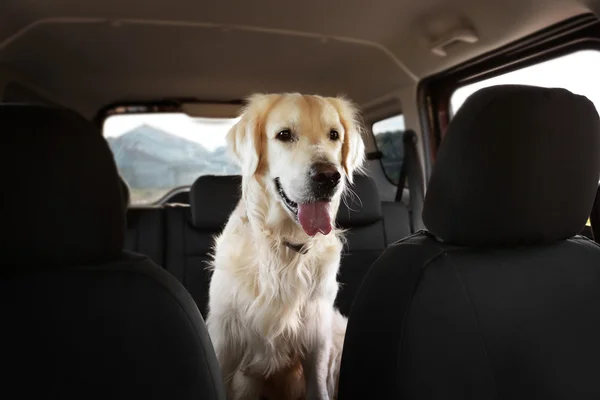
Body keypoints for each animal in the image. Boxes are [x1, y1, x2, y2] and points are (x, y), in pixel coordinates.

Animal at [206, 92, 366, 398]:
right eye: (284, 135)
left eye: (334, 135)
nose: (329, 176)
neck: (285, 246)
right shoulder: (224, 337)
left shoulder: (317, 336)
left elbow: (318, 386)